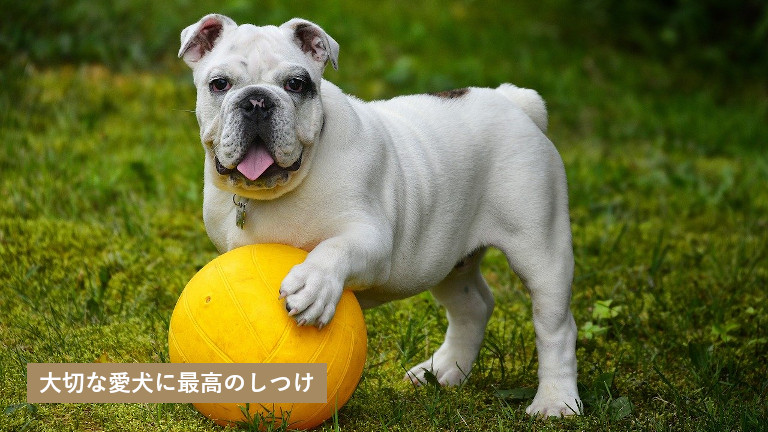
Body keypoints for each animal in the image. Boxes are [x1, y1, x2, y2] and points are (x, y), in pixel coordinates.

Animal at [178, 15, 576, 416]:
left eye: (296, 84)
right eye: (219, 84)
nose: (257, 100)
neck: (279, 190)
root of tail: (513, 101)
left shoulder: (371, 240)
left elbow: (335, 248)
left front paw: (313, 285)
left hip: (539, 249)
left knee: (556, 327)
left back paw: (556, 401)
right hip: (447, 257)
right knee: (472, 307)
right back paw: (443, 371)